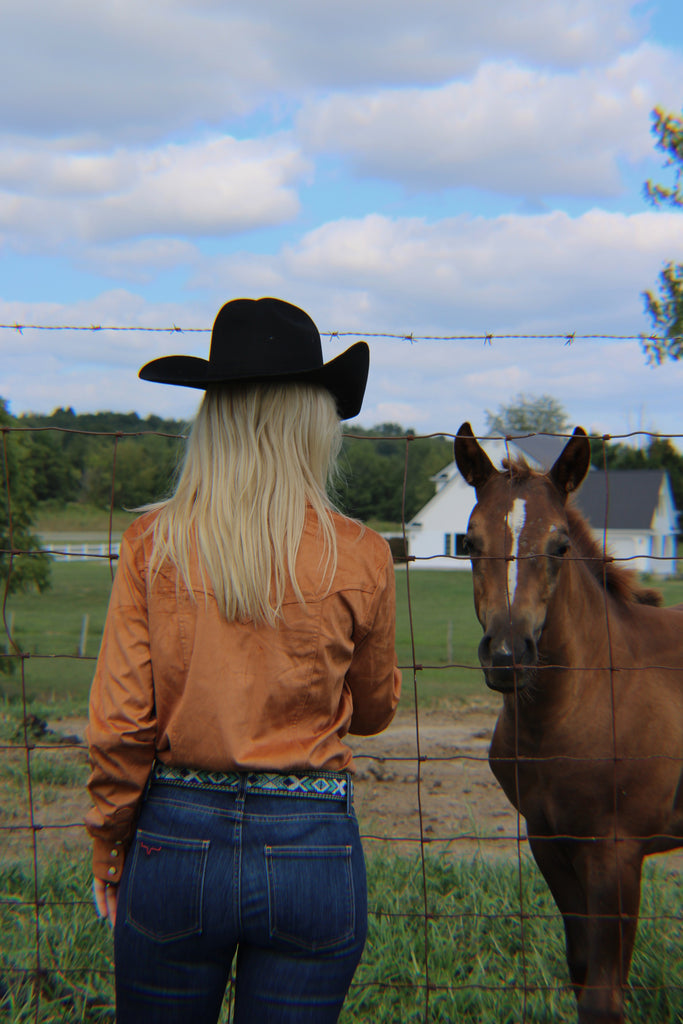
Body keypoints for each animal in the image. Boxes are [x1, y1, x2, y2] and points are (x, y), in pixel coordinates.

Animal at [454, 421, 683, 1024]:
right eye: (469, 543)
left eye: (559, 546)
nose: (508, 655)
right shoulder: (549, 842)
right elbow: (581, 973)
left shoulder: (616, 853)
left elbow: (604, 997)